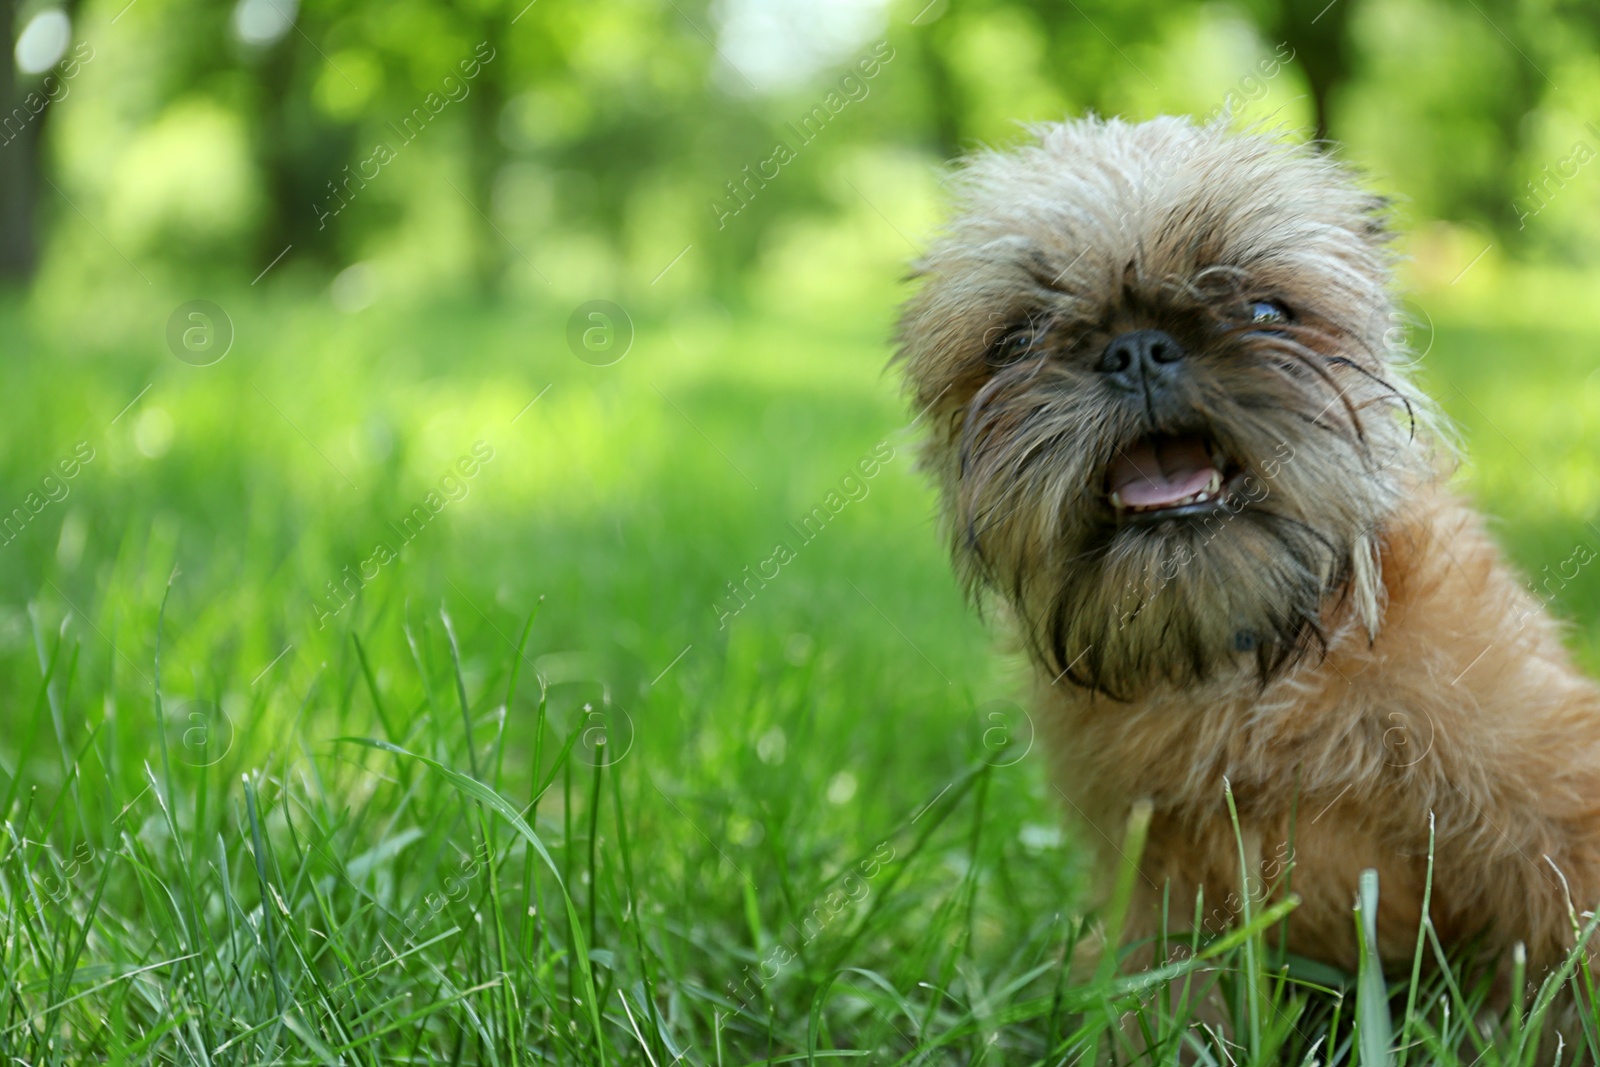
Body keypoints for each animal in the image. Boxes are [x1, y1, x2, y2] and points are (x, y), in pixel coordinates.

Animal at [896, 116, 1600, 985]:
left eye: (1266, 310)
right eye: (1018, 339)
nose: (1137, 348)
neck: (1255, 665)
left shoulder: (1560, 812)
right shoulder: (1158, 904)